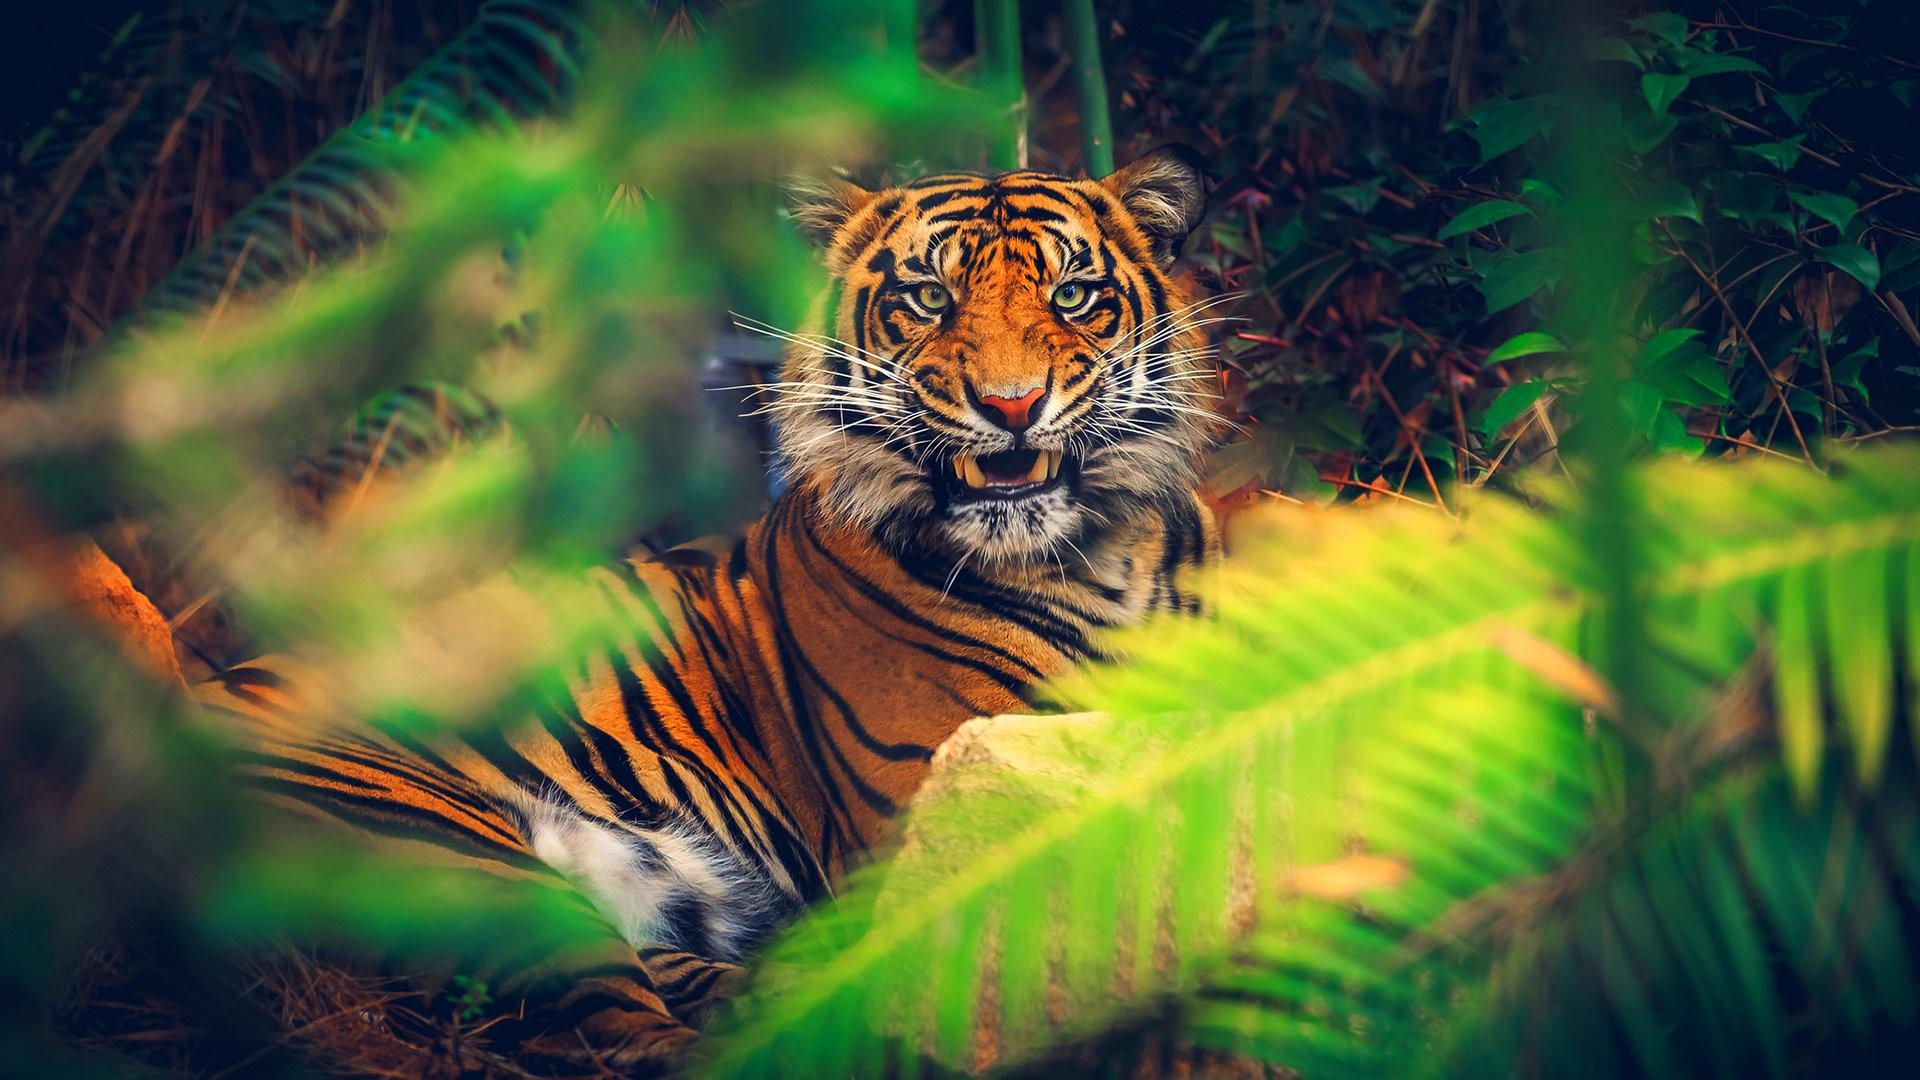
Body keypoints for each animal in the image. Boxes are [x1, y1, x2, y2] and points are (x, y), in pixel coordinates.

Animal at [195, 145, 1224, 1072]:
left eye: (1073, 296)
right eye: (930, 299)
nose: (1012, 406)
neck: (1094, 557)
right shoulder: (932, 801)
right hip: (465, 859)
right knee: (615, 1038)